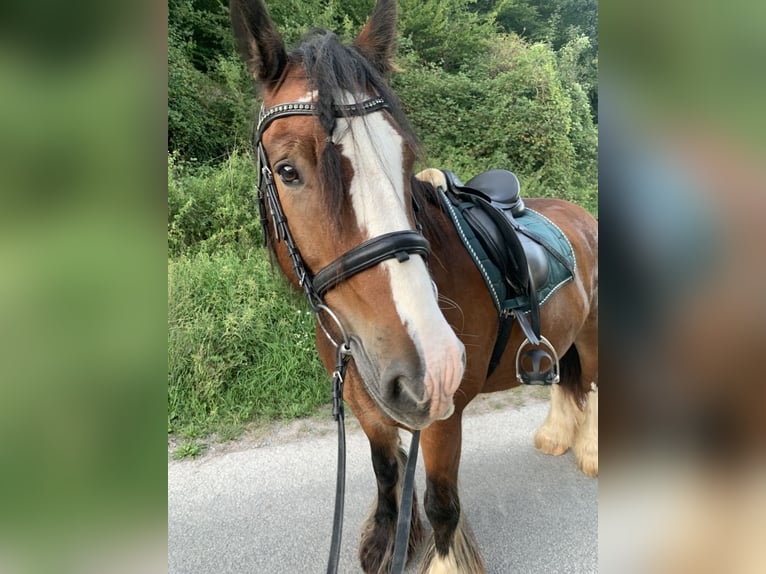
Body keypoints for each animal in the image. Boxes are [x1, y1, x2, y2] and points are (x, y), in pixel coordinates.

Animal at [229, 1, 598, 572]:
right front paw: (387, 542)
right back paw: (557, 436)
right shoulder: (369, 409)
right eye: (288, 170)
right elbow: (387, 477)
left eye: (404, 163)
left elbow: (441, 504)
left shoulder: (444, 418)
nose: (433, 364)